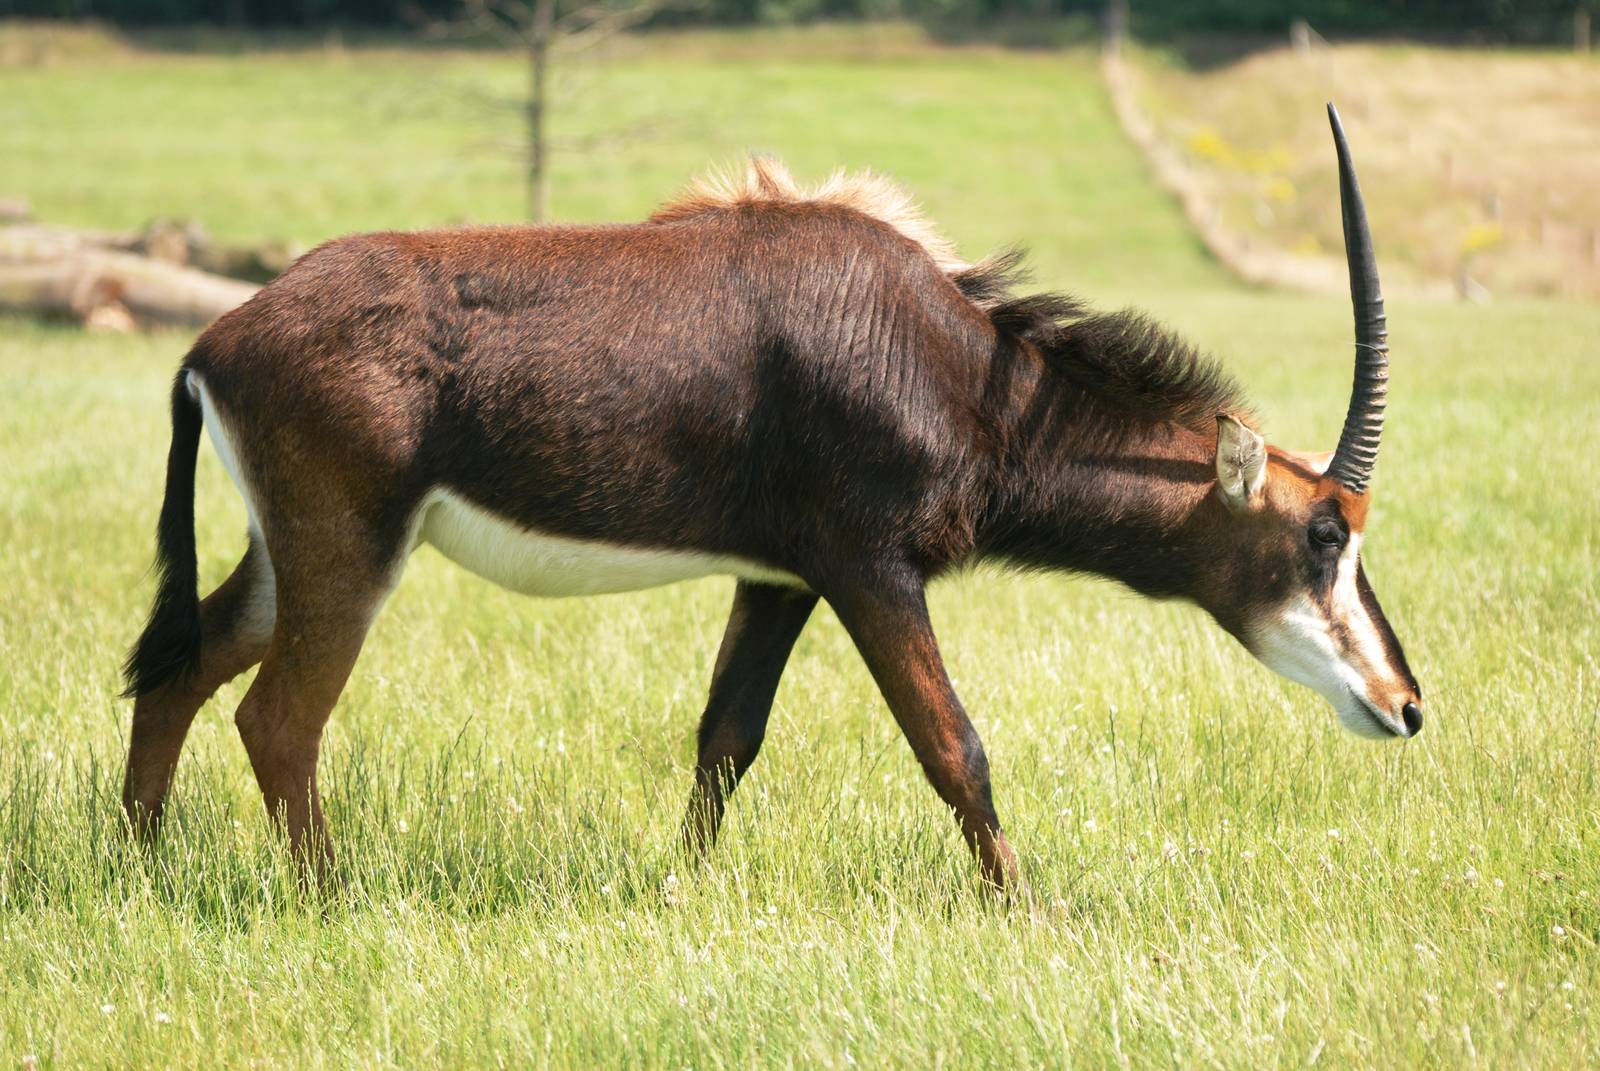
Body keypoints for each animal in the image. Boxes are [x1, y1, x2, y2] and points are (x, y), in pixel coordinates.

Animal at [121, 105, 1421, 889]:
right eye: (1321, 535)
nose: (1406, 706)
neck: (959, 367)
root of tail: (214, 341)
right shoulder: (867, 567)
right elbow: (954, 746)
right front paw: (1030, 913)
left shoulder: (777, 578)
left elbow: (724, 738)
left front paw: (676, 894)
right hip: (349, 548)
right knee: (278, 718)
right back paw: (332, 897)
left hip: (289, 553)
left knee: (182, 670)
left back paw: (140, 872)